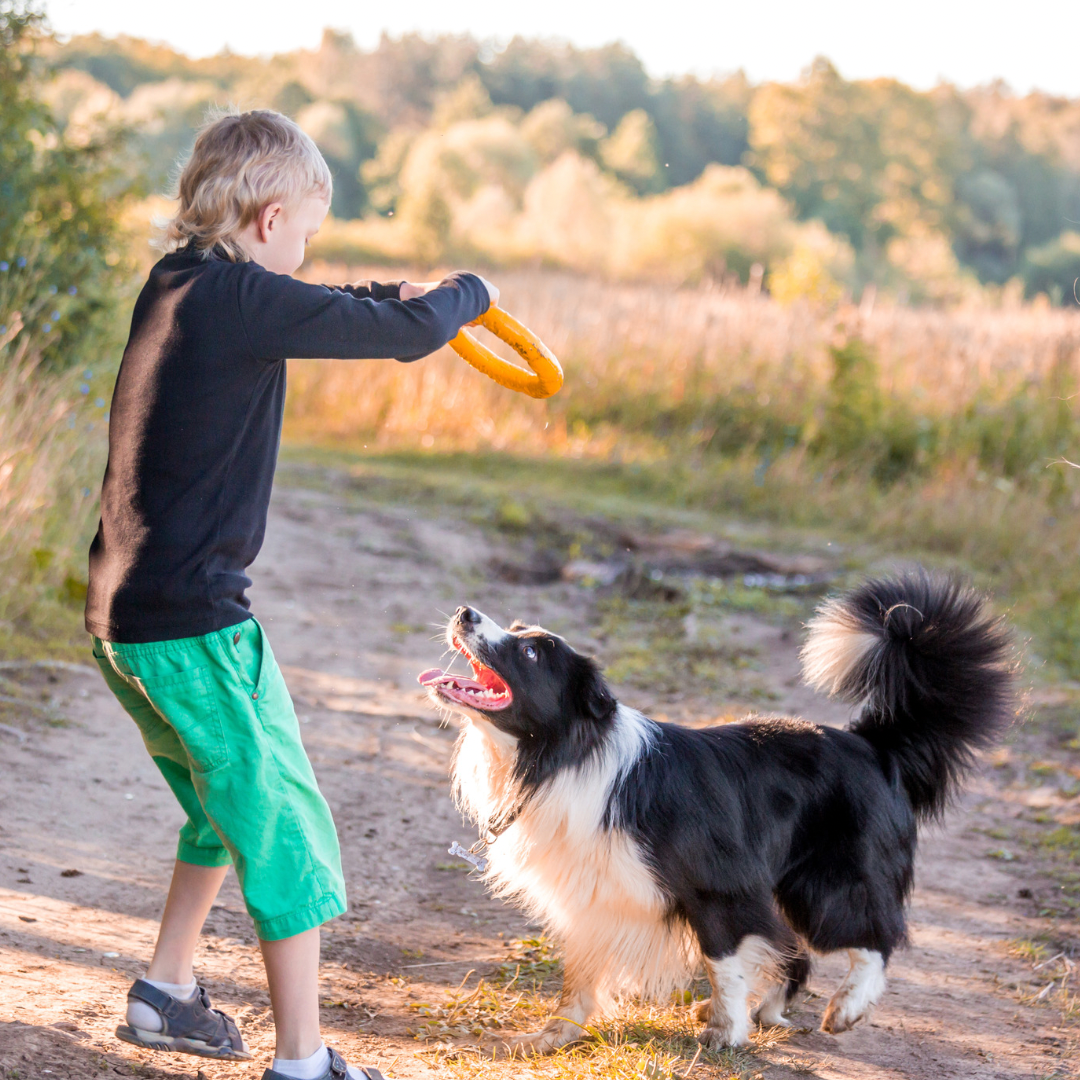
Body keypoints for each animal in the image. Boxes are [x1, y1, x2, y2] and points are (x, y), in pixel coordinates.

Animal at [414, 574, 1010, 1054]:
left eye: (534, 653)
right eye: (516, 630)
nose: (465, 613)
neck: (561, 755)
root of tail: (875, 745)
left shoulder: (719, 885)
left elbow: (722, 961)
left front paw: (726, 1033)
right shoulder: (592, 894)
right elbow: (579, 973)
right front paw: (553, 1035)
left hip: (828, 881)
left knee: (874, 935)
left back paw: (844, 1008)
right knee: (798, 950)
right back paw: (768, 1009)